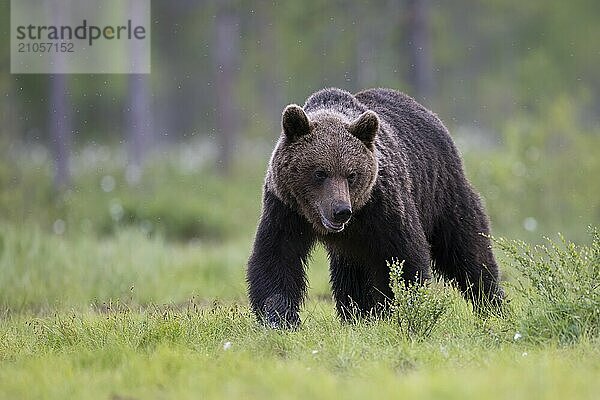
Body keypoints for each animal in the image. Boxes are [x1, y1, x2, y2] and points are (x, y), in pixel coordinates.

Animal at [246, 87, 504, 328]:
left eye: (351, 174)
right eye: (320, 173)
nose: (341, 211)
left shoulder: (383, 206)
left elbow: (404, 256)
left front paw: (396, 311)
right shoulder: (285, 208)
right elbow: (276, 258)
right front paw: (279, 318)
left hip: (442, 193)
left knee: (468, 249)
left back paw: (492, 304)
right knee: (350, 274)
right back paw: (356, 314)